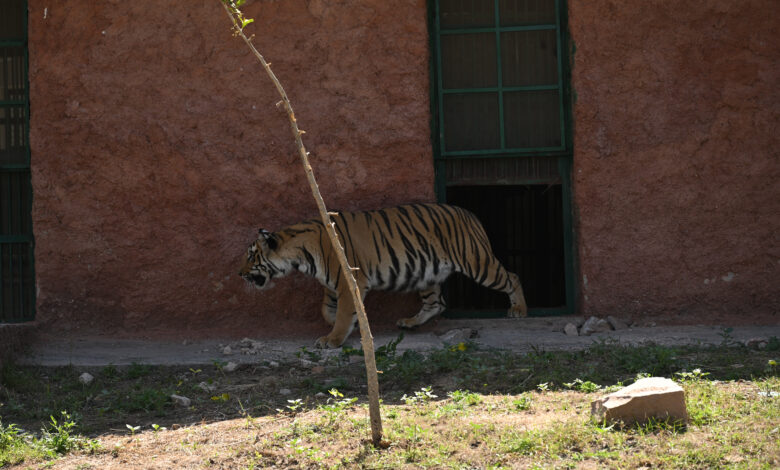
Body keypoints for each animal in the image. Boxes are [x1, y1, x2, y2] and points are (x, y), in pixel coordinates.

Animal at [239, 203, 527, 348]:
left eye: (252, 256)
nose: (239, 273)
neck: (300, 255)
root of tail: (469, 213)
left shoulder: (348, 281)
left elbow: (343, 313)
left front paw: (333, 339)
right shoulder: (333, 285)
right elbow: (328, 309)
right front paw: (348, 326)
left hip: (477, 263)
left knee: (513, 277)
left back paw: (519, 310)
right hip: (428, 273)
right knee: (436, 303)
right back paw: (410, 322)